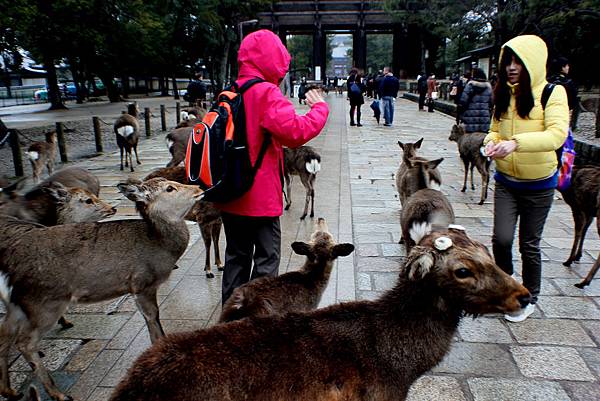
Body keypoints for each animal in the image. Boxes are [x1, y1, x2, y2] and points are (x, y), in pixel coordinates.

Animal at [0, 178, 204, 400]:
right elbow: (153, 317)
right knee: (24, 342)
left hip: (18, 304)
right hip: (44, 303)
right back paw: (58, 393)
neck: (160, 246)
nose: (199, 188)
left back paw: (9, 390)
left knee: (4, 333)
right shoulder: (142, 282)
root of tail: (8, 266)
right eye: (170, 188)